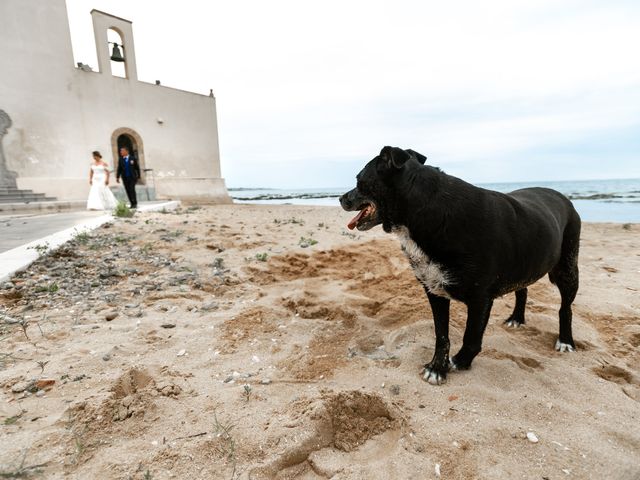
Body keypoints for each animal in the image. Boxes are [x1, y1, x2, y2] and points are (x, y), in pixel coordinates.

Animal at [340, 146, 580, 386]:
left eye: (359, 179)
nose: (341, 198)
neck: (428, 210)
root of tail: (564, 198)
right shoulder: (435, 292)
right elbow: (441, 335)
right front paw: (437, 368)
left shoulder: (480, 298)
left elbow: (471, 337)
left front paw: (458, 363)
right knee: (523, 289)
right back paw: (516, 319)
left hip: (568, 269)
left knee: (565, 308)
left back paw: (566, 341)